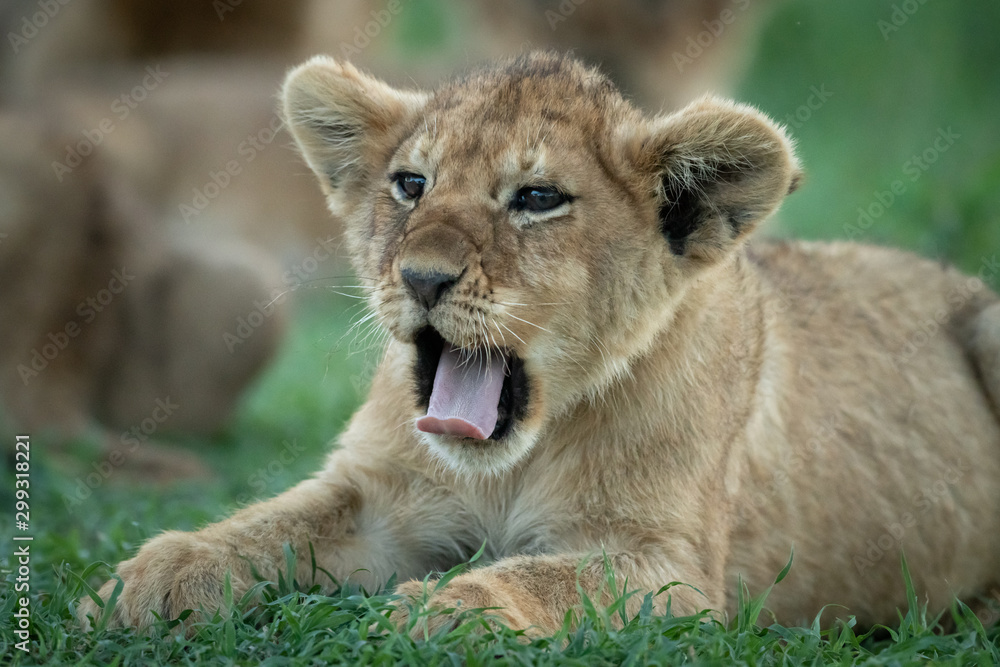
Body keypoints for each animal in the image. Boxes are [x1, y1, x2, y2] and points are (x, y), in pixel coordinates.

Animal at [79, 52, 1000, 635]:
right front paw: (152, 575)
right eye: (410, 184)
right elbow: (264, 525)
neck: (512, 458)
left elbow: (549, 577)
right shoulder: (377, 497)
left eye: (536, 198)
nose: (421, 278)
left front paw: (448, 611)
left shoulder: (671, 568)